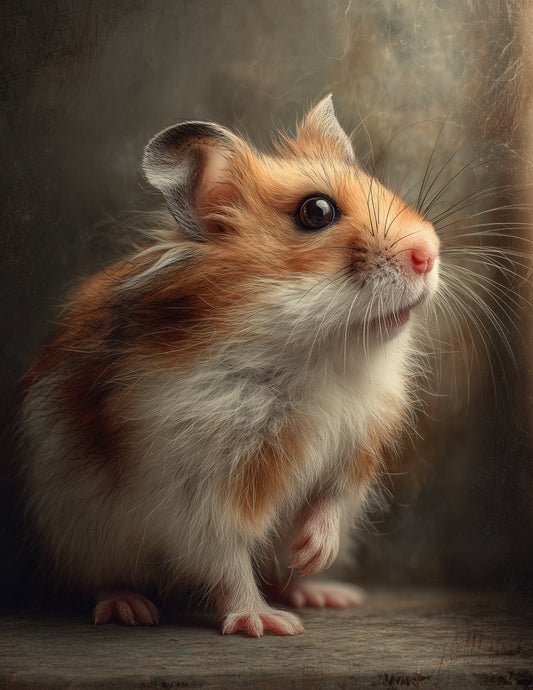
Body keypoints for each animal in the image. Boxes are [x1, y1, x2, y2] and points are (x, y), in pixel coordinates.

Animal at [17, 95, 440, 637]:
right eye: (316, 211)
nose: (430, 253)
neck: (316, 355)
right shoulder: (197, 491)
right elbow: (227, 559)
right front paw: (265, 624)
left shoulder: (355, 453)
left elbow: (330, 501)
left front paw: (311, 554)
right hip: (77, 531)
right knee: (96, 580)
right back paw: (130, 609)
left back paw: (325, 591)